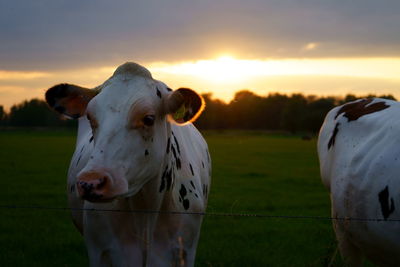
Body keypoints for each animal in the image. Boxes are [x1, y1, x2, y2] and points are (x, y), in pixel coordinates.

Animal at [45, 62, 211, 267]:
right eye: (90, 117)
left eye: (148, 118)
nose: (90, 182)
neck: (145, 212)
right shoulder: (100, 251)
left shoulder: (185, 251)